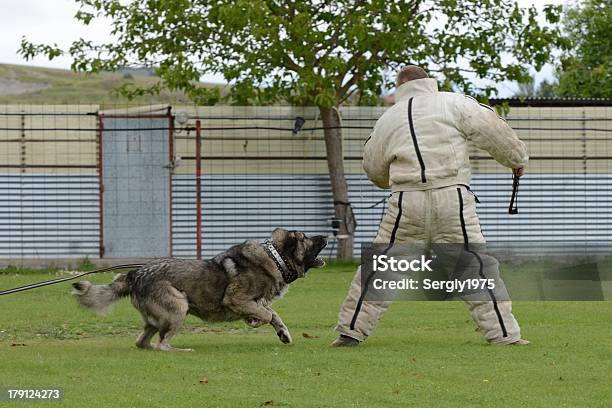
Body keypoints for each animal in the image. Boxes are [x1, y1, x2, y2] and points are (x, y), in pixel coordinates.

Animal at [72, 228, 328, 352]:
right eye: (306, 237)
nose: (326, 235)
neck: (275, 259)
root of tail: (134, 275)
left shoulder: (256, 302)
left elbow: (274, 314)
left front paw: (282, 332)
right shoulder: (235, 298)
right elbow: (266, 314)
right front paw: (254, 321)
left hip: (156, 319)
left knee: (143, 342)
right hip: (179, 307)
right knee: (162, 345)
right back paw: (180, 350)